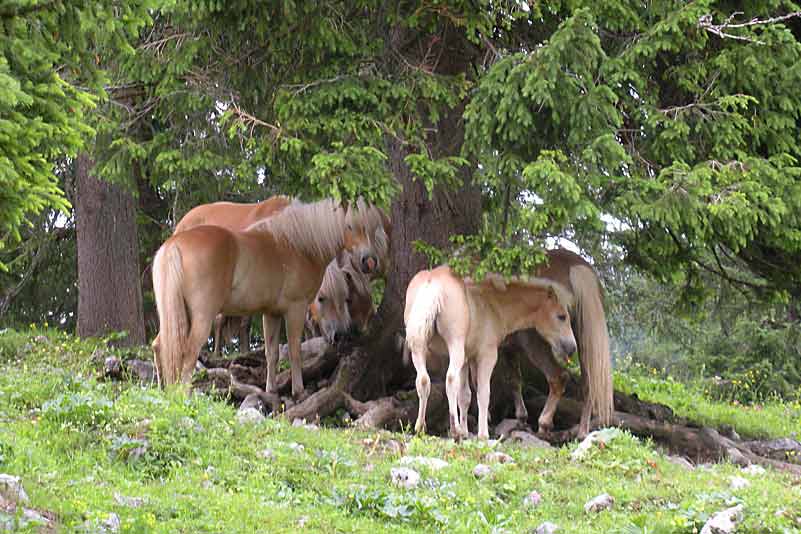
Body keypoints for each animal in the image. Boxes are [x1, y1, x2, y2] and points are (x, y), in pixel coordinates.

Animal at [151, 199, 382, 400]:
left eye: (346, 298)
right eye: (349, 226)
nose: (368, 260)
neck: (297, 245)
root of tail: (175, 243)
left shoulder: (271, 313)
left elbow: (272, 353)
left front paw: (271, 390)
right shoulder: (295, 309)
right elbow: (295, 351)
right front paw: (298, 391)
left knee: (160, 345)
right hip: (202, 317)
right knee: (188, 352)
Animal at [406, 266, 576, 442]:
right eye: (562, 316)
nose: (572, 347)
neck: (493, 306)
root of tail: (432, 284)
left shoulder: (467, 359)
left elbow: (465, 395)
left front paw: (466, 432)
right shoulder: (487, 355)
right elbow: (483, 392)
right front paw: (482, 434)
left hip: (418, 346)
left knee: (423, 381)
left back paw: (421, 428)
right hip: (454, 345)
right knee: (450, 380)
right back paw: (454, 430)